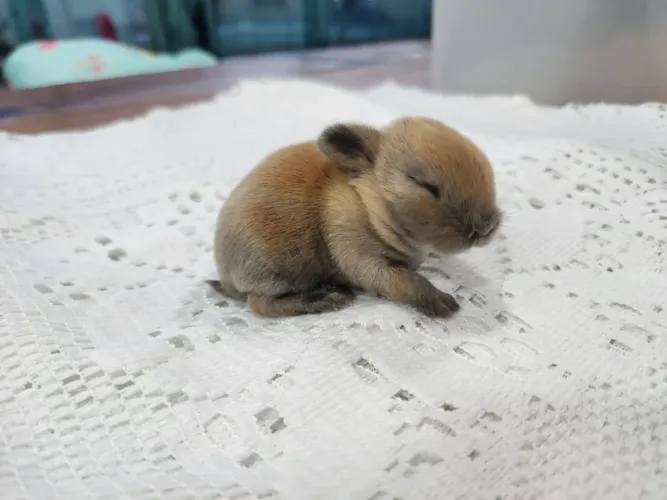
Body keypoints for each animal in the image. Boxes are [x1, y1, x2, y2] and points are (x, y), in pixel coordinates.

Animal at [208, 116, 501, 318]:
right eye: (422, 184)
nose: (487, 226)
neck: (368, 206)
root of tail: (226, 277)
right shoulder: (360, 257)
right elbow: (404, 280)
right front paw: (442, 302)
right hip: (273, 272)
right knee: (259, 304)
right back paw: (324, 298)